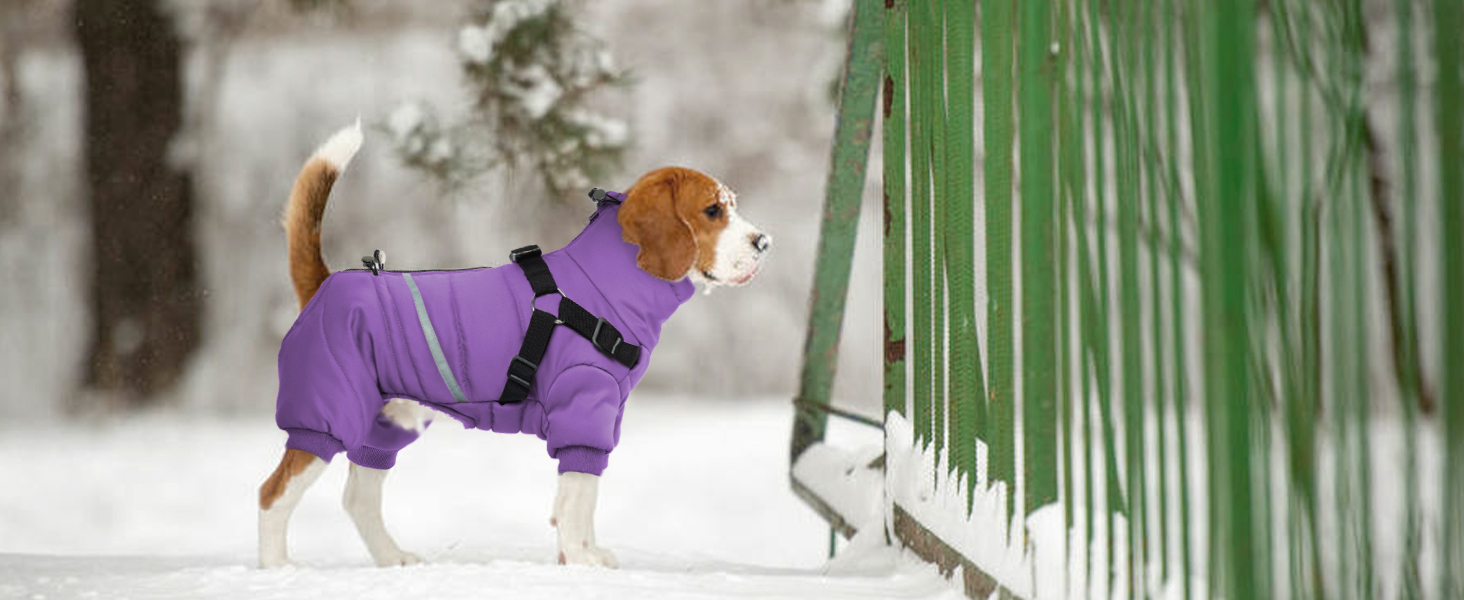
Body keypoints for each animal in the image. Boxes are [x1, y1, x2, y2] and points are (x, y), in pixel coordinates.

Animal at [257, 122, 772, 567]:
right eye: (712, 210)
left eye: (732, 205)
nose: (764, 242)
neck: (600, 285)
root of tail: (325, 285)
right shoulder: (583, 406)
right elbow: (578, 496)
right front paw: (582, 559)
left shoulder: (600, 415)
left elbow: (579, 497)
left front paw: (582, 556)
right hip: (325, 418)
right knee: (273, 495)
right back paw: (278, 567)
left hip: (385, 425)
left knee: (359, 497)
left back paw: (393, 559)